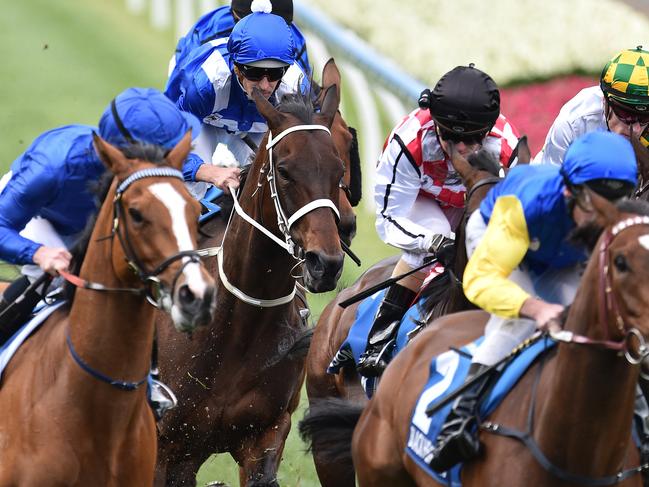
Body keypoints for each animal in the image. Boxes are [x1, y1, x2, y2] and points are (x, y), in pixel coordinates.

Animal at [156, 80, 350, 484]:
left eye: (338, 170)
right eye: (286, 171)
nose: (325, 264)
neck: (237, 330)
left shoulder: (266, 436)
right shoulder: (166, 442)